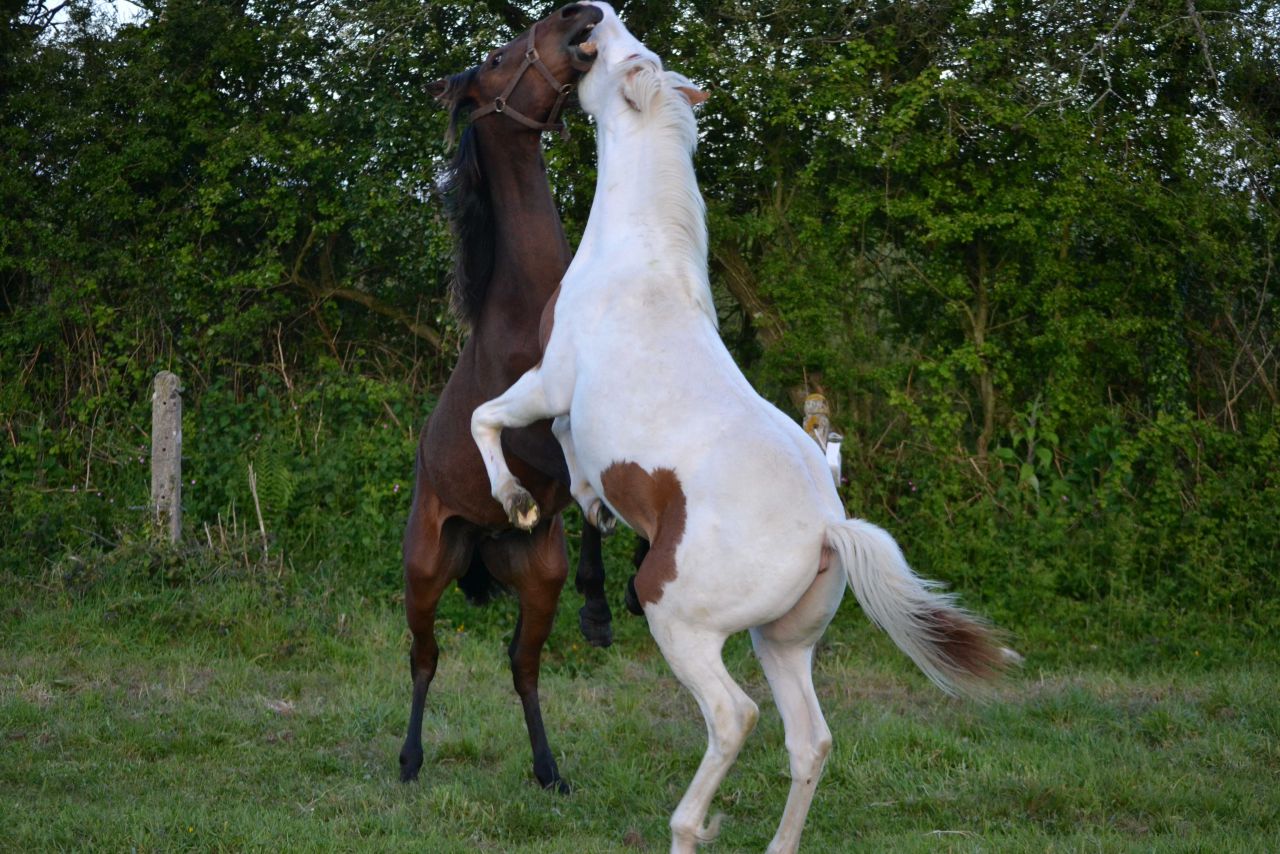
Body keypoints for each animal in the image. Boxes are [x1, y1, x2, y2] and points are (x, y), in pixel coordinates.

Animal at [399, 2, 610, 793]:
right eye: (494, 59)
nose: (577, 13)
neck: (532, 311)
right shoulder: (531, 435)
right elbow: (575, 470)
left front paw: (608, 604)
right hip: (425, 569)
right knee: (424, 659)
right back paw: (409, 761)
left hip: (538, 578)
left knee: (522, 665)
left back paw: (549, 769)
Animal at [470, 4, 1016, 850]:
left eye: (616, 52)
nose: (588, 17)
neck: (640, 259)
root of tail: (829, 528)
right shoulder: (565, 408)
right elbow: (568, 461)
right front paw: (590, 512)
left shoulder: (548, 384)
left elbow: (491, 420)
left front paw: (519, 503)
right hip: (783, 642)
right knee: (810, 741)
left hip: (682, 621)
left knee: (734, 717)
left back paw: (687, 827)